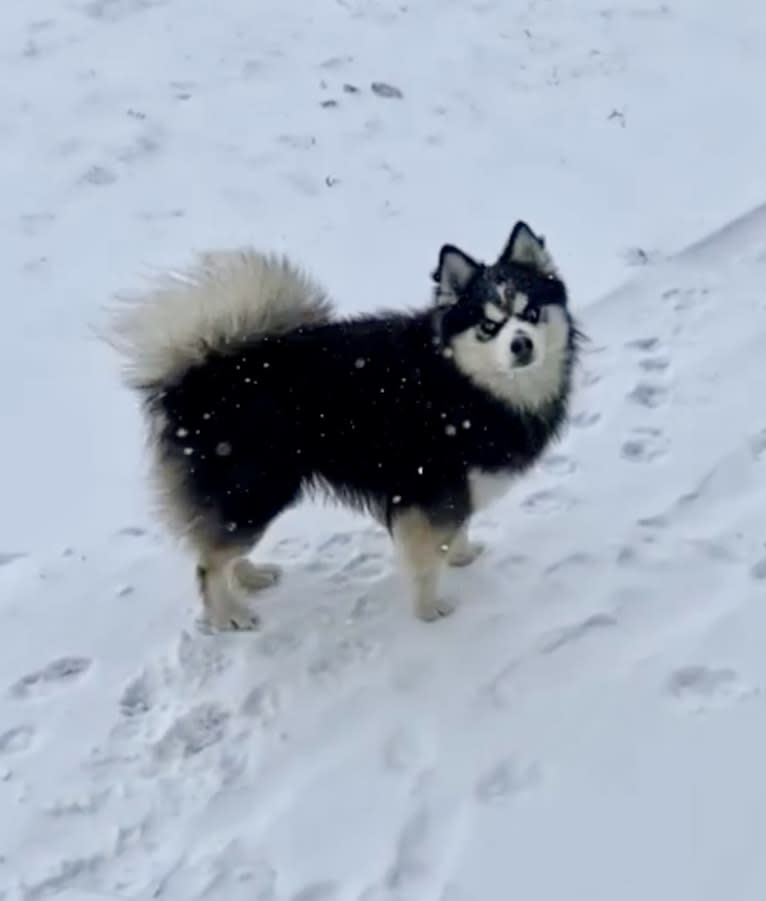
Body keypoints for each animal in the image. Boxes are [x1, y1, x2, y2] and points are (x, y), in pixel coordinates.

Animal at [111, 222, 584, 628]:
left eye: (532, 312)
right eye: (489, 325)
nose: (521, 345)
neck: (466, 383)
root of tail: (200, 371)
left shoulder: (454, 486)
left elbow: (458, 529)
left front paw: (462, 555)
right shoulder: (430, 487)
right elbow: (426, 559)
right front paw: (429, 609)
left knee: (220, 543)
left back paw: (250, 576)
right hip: (256, 486)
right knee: (207, 562)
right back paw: (228, 615)